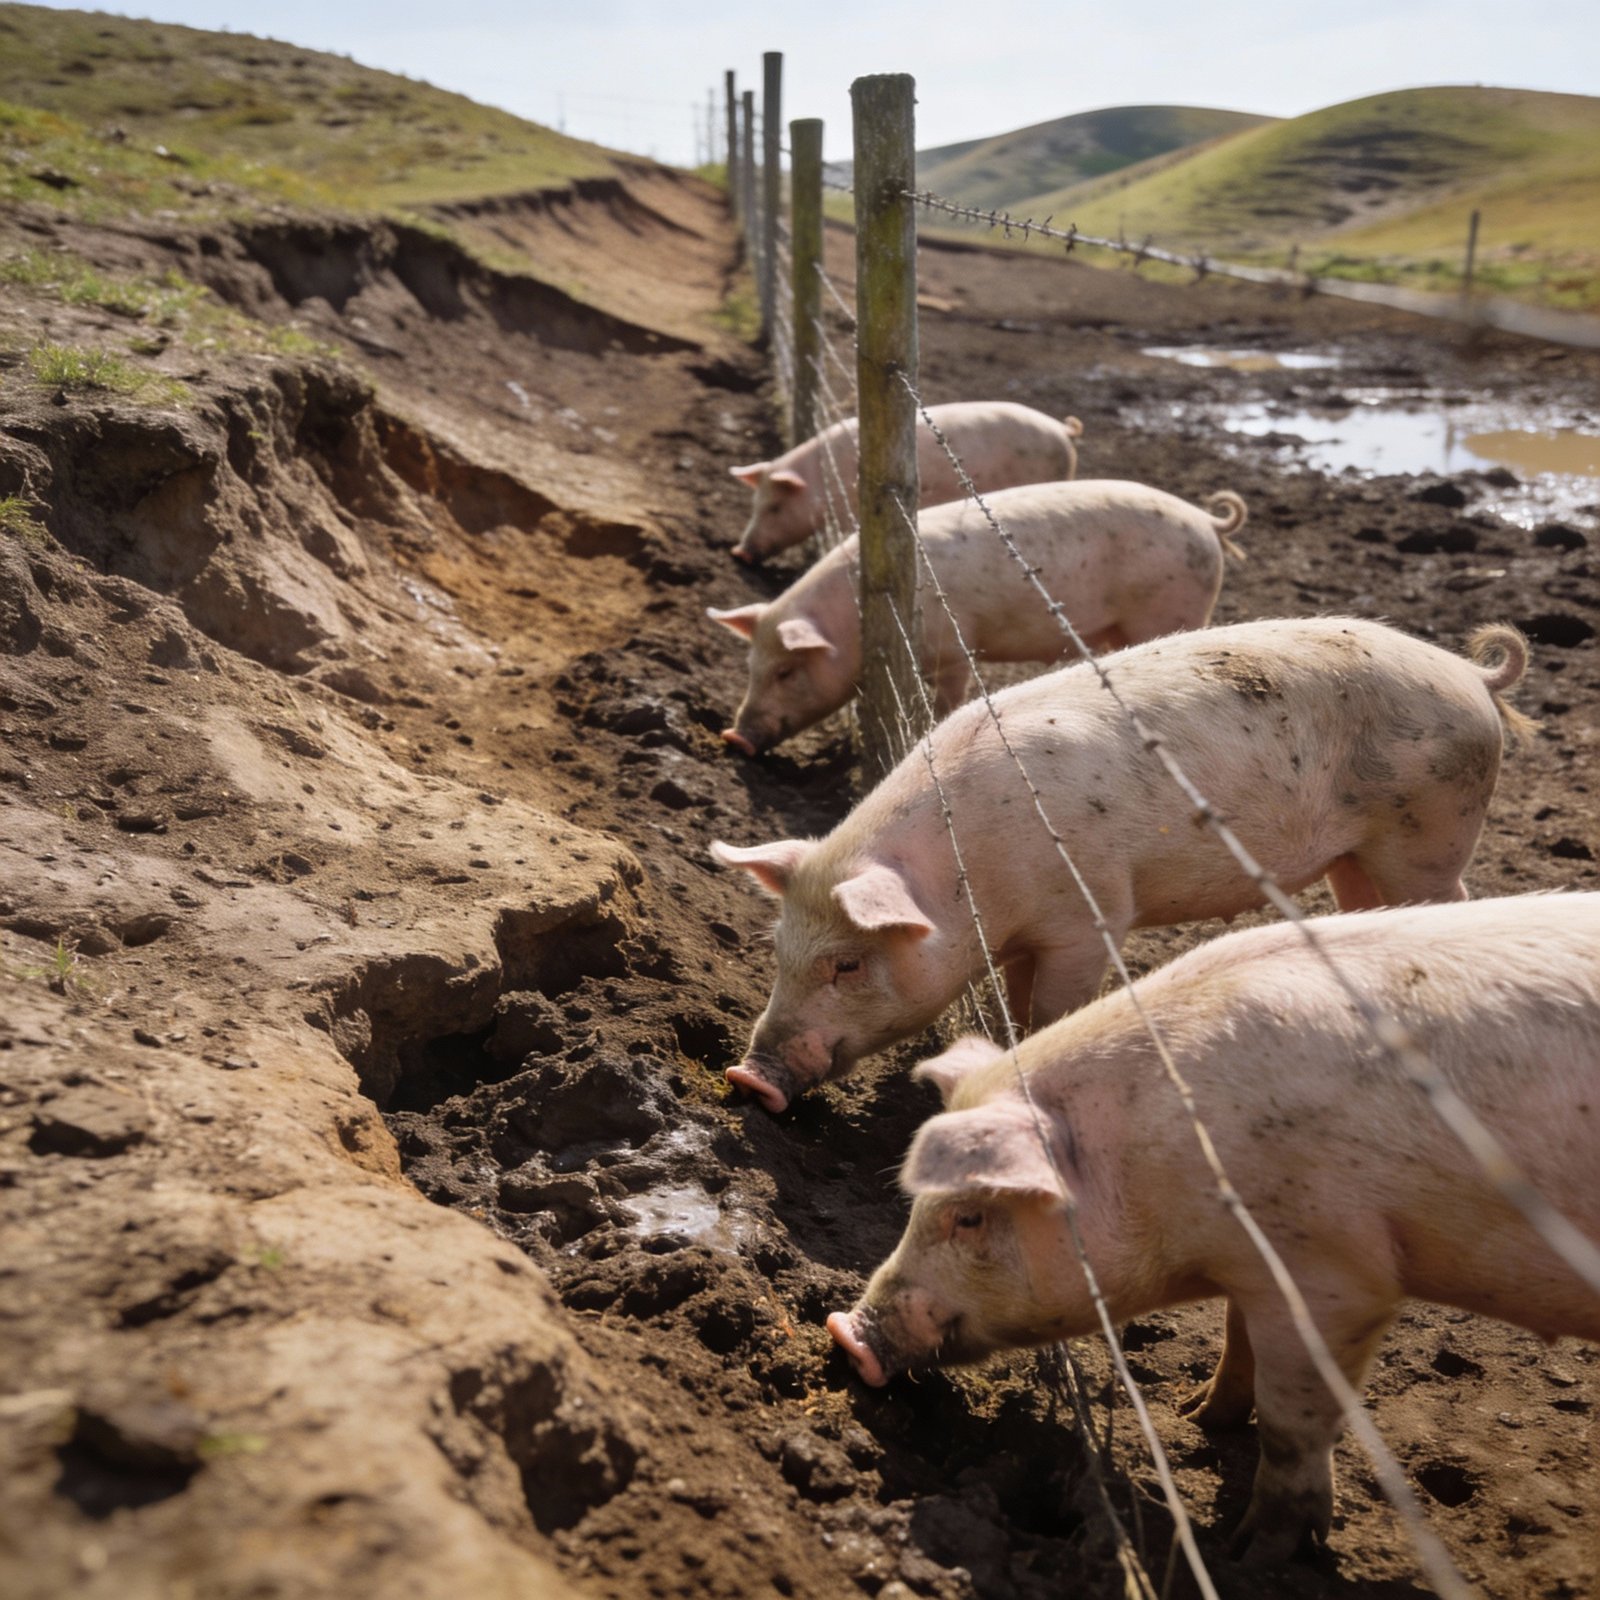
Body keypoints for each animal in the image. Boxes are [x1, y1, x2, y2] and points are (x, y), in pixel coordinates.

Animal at [709, 480, 1248, 754]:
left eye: (786, 670)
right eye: (751, 667)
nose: (733, 736)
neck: (854, 620)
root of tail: (1207, 520)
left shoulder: (953, 646)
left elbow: (947, 698)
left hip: (1178, 604)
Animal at [711, 616, 1533, 1112]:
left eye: (848, 965)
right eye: (778, 952)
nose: (746, 1075)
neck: (968, 884)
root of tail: (1472, 676)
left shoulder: (1091, 917)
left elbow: (1051, 1010)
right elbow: (1015, 1000)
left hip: (1430, 831)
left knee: (1451, 899)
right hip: (1361, 853)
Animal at [827, 892, 1600, 1562]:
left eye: (969, 1215)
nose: (845, 1331)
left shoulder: (1335, 1275)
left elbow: (1291, 1425)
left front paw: (1252, 1553)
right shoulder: (1254, 1267)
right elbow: (1236, 1339)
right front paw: (1198, 1414)